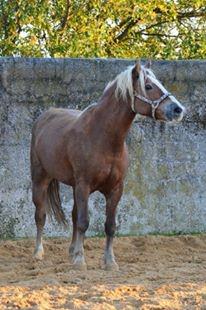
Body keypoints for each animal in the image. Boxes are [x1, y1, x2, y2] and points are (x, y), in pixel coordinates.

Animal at [30, 61, 185, 270]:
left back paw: (71, 252)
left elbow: (109, 226)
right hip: (41, 180)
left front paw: (110, 262)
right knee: (41, 215)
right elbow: (84, 222)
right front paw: (80, 261)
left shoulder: (115, 189)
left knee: (73, 215)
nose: (178, 110)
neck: (102, 137)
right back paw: (38, 253)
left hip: (73, 186)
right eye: (148, 86)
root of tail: (44, 117)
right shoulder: (84, 186)